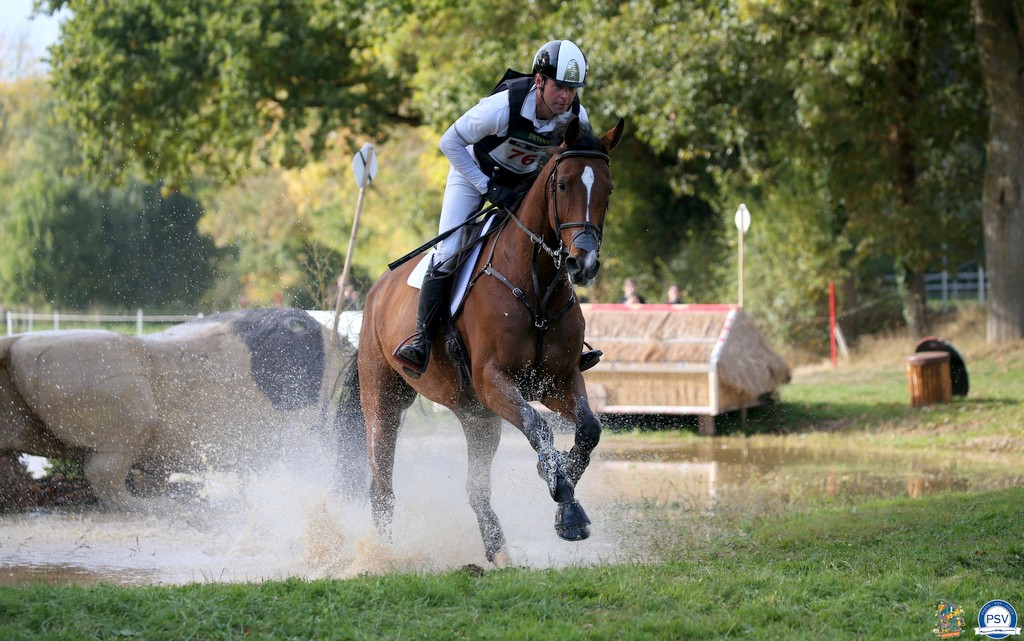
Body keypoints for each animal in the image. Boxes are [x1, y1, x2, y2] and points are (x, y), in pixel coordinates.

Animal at [358, 116, 625, 565]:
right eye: (562, 185)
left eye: (607, 190)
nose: (583, 262)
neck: (536, 284)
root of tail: (376, 290)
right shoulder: (492, 380)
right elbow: (537, 426)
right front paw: (562, 495)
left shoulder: (558, 381)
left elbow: (589, 429)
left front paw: (565, 496)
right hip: (385, 398)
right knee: (380, 482)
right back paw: (384, 555)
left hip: (476, 416)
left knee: (476, 488)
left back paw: (498, 550)